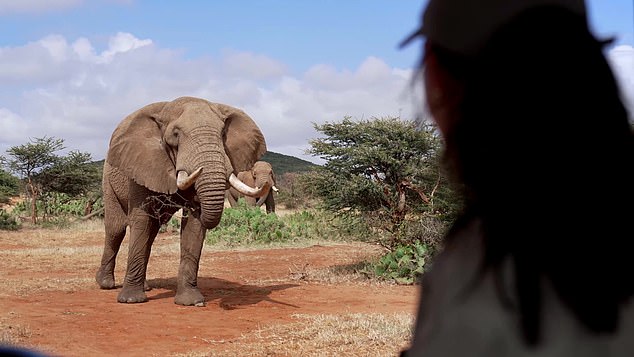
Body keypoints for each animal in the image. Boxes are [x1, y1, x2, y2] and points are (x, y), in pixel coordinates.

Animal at [95, 96, 270, 304]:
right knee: (117, 229)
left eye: (222, 133)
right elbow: (141, 219)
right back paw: (106, 284)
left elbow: (194, 225)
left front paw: (191, 301)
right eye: (176, 134)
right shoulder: (141, 166)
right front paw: (131, 300)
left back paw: (145, 286)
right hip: (108, 180)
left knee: (151, 233)